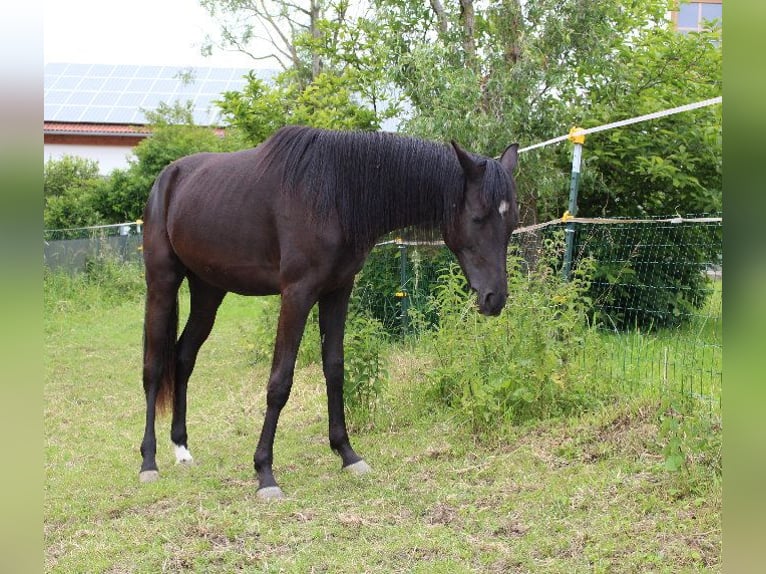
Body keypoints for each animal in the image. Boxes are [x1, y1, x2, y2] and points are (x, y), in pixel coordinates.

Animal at [140, 127, 520, 500]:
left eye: (512, 224)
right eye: (478, 218)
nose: (495, 298)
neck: (334, 192)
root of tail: (167, 178)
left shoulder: (337, 291)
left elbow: (335, 368)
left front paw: (348, 454)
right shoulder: (297, 294)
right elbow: (280, 381)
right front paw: (265, 473)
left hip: (208, 291)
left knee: (184, 357)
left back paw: (182, 449)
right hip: (162, 283)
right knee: (154, 367)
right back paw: (149, 462)